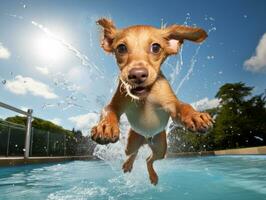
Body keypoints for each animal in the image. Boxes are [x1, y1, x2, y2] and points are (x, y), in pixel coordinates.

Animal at [91, 18, 214, 185]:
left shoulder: (171, 105)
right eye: (121, 48)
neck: (145, 97)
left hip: (161, 148)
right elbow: (108, 111)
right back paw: (128, 164)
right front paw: (105, 126)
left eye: (155, 47)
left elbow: (183, 106)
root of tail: (146, 139)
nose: (137, 75)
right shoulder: (116, 104)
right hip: (132, 142)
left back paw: (153, 175)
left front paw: (195, 116)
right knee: (134, 153)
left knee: (149, 159)